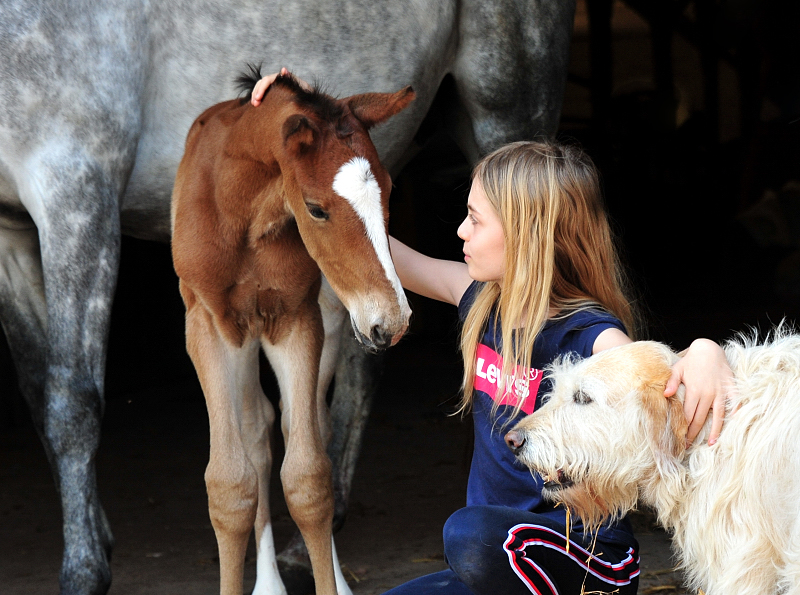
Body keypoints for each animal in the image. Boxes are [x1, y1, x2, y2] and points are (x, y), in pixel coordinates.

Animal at [0, 1, 576, 595]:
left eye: (390, 193)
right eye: (317, 208)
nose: (392, 319)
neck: (242, 212)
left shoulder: (292, 318)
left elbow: (305, 477)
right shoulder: (205, 323)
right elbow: (227, 483)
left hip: (502, 106)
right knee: (260, 428)